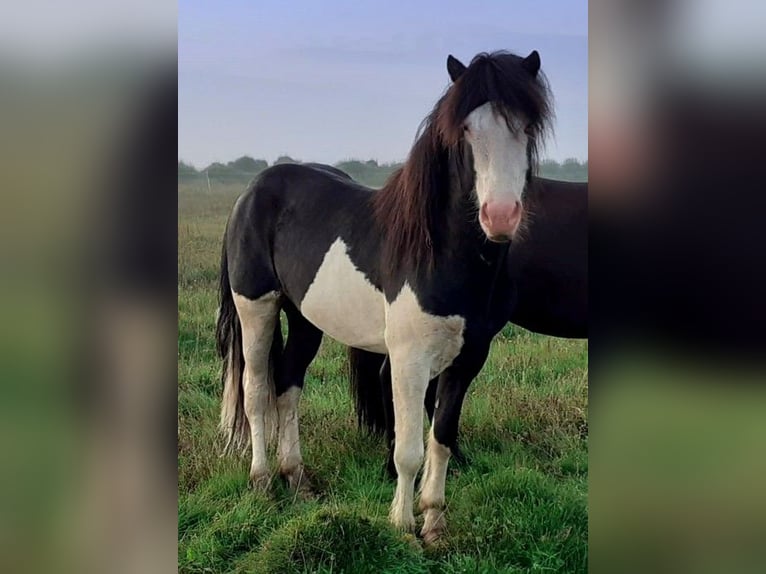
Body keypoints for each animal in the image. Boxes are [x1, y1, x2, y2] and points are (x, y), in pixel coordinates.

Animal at [216, 50, 553, 542]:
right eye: (465, 130)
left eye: (527, 127)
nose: (501, 216)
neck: (442, 254)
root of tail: (254, 189)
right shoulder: (409, 359)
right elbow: (408, 448)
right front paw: (401, 524)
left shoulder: (470, 357)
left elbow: (442, 438)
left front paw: (434, 522)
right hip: (256, 307)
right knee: (257, 389)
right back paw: (262, 481)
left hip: (305, 318)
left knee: (288, 385)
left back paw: (296, 477)